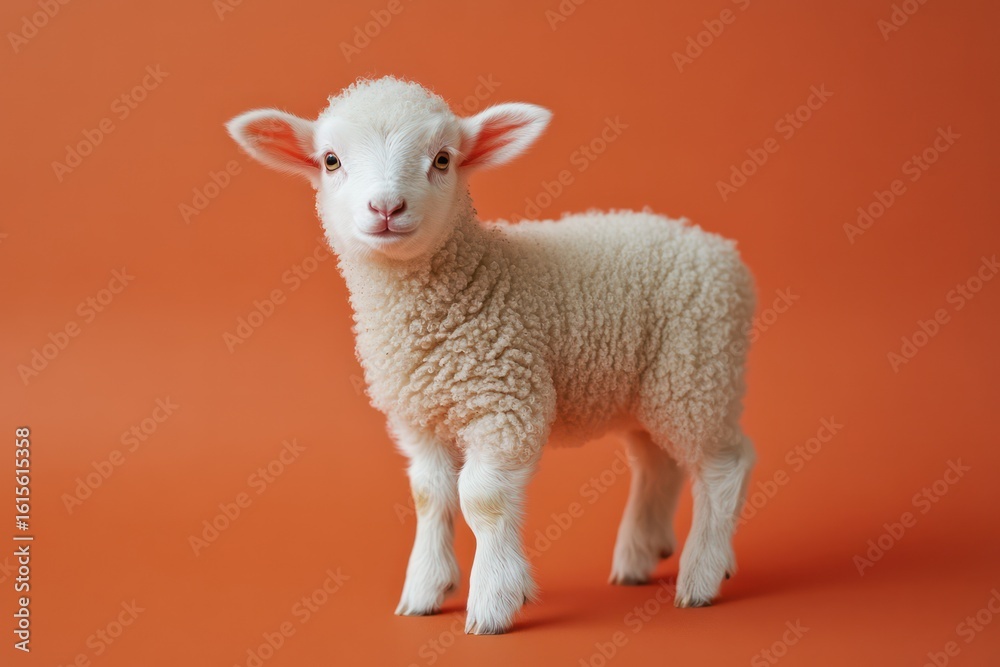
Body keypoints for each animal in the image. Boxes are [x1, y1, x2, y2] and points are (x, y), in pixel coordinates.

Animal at [227, 76, 757, 635]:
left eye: (442, 159)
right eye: (331, 160)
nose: (386, 208)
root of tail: (721, 253)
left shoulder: (505, 404)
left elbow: (481, 498)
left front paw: (493, 602)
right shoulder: (420, 417)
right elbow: (430, 495)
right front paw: (424, 590)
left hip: (697, 368)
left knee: (725, 466)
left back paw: (702, 574)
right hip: (651, 388)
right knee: (660, 464)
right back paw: (640, 556)